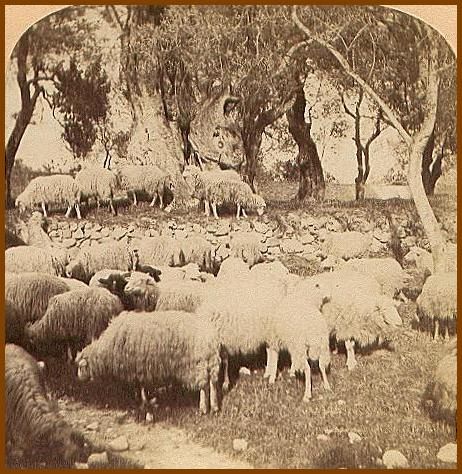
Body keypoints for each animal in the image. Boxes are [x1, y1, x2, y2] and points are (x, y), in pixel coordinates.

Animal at [75, 312, 221, 416]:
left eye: (81, 367)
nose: (78, 378)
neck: (107, 348)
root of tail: (211, 337)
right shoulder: (142, 367)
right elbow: (142, 386)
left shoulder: (138, 366)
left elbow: (140, 386)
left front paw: (142, 402)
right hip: (209, 363)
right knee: (212, 384)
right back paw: (214, 407)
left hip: (197, 365)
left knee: (204, 387)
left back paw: (203, 408)